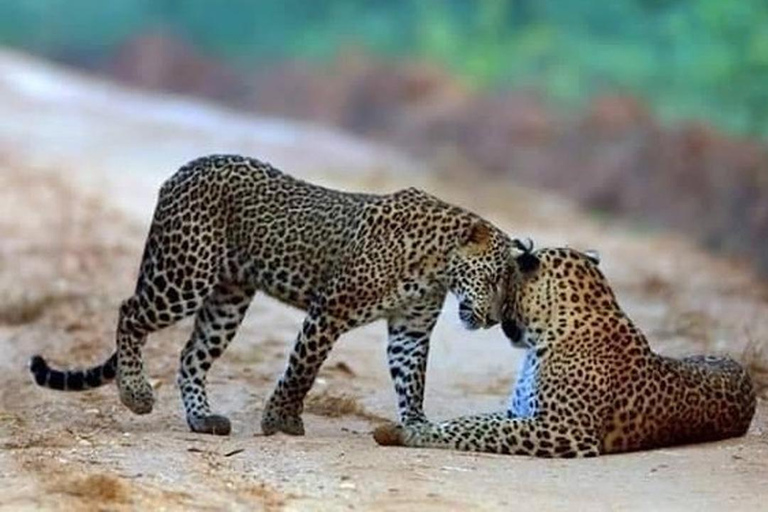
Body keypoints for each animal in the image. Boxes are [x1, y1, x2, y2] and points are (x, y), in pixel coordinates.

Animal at [30, 154, 517, 436]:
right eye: (494, 277)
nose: (494, 320)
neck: (437, 265)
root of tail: (181, 171)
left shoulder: (410, 331)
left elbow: (412, 381)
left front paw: (417, 427)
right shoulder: (330, 310)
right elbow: (303, 369)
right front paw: (281, 420)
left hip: (227, 299)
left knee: (191, 354)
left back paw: (202, 418)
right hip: (184, 275)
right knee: (130, 312)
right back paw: (135, 393)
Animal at [374, 241, 756, 457]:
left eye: (497, 279)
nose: (487, 316)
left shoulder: (563, 430)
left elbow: (474, 430)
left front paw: (405, 432)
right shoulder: (519, 414)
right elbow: (470, 422)